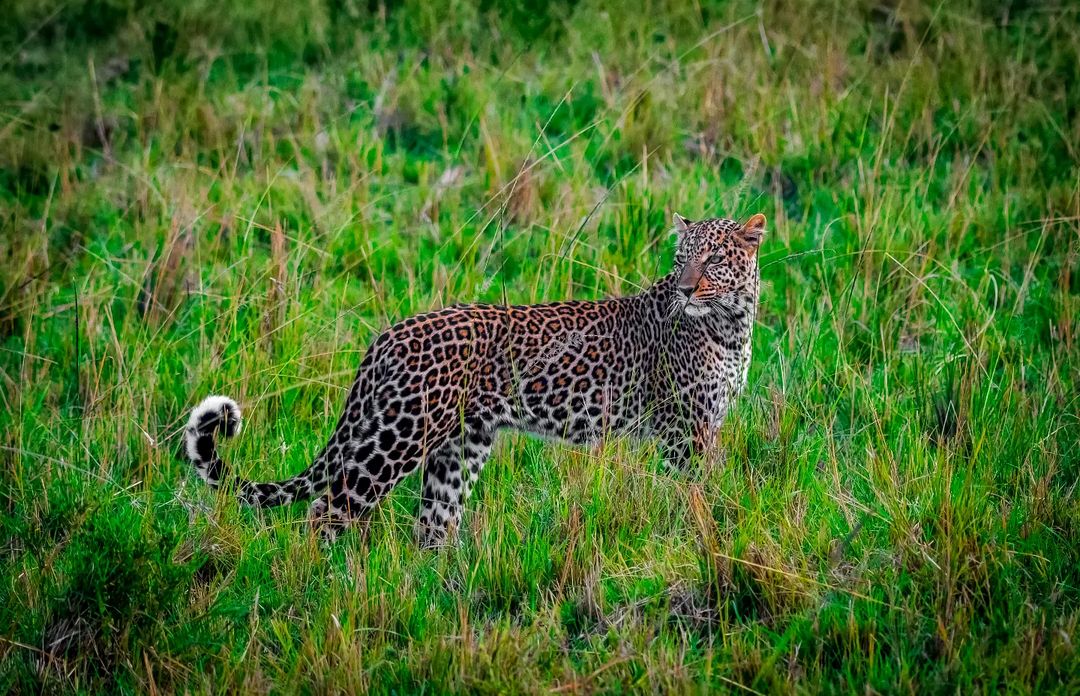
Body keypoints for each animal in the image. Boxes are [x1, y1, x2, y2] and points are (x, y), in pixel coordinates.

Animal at [181, 209, 764, 546]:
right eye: (682, 258)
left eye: (713, 258)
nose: (686, 288)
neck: (732, 324)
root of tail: (387, 336)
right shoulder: (686, 431)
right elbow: (697, 495)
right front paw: (704, 539)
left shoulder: (699, 428)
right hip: (399, 437)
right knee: (328, 510)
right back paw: (324, 586)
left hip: (459, 445)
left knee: (433, 523)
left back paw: (437, 591)